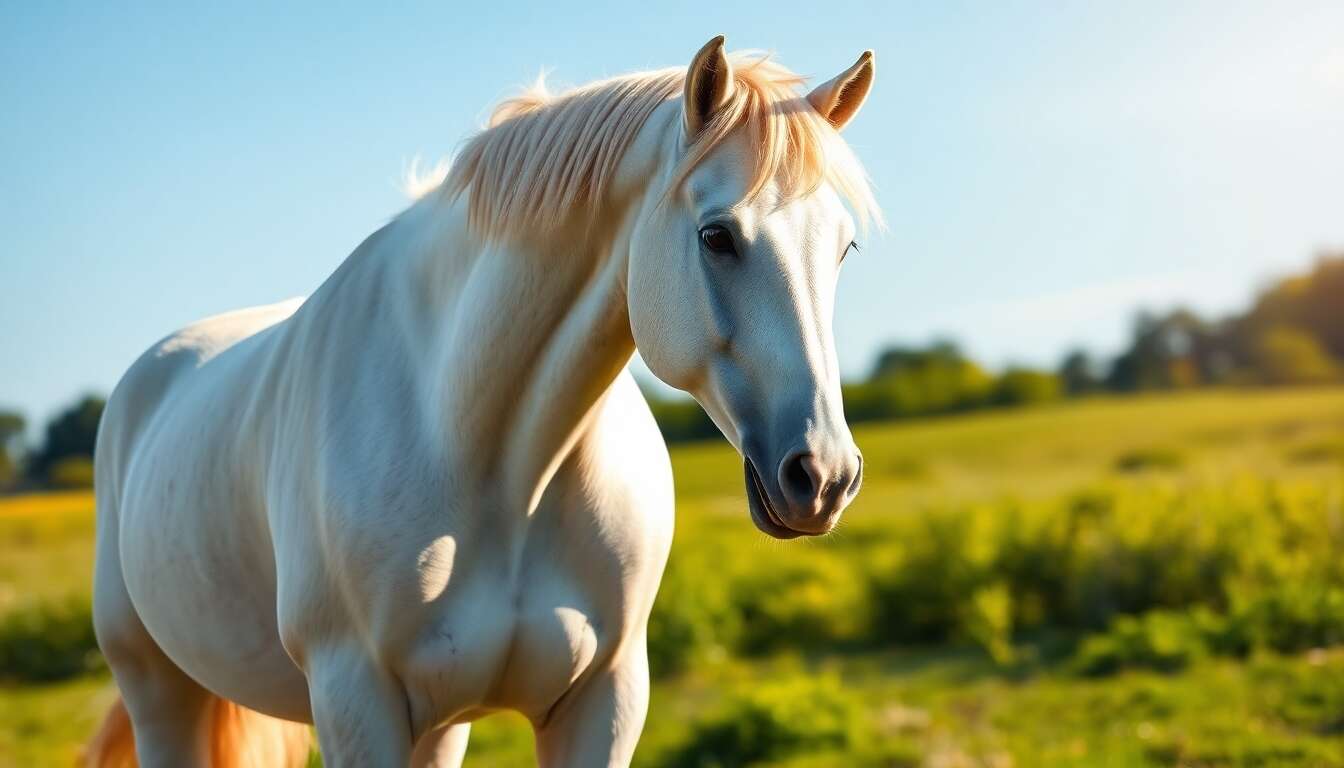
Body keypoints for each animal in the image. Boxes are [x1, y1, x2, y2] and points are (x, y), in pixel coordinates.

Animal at [87, 35, 879, 767]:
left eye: (844, 247)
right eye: (716, 236)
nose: (824, 477)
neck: (489, 457)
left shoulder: (606, 699)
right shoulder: (355, 703)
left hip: (438, 725)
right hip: (159, 691)